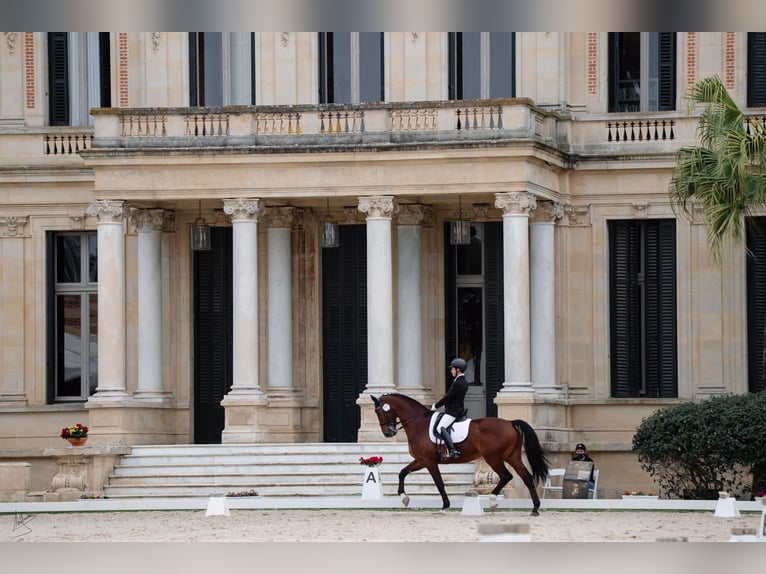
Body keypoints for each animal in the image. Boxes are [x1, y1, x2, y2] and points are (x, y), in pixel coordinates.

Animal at [372, 394, 552, 516]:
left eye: (379, 411)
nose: (388, 433)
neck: (418, 424)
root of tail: (510, 423)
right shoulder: (421, 460)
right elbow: (402, 472)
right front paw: (404, 498)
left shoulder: (429, 461)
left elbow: (439, 483)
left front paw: (445, 506)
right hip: (512, 457)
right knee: (526, 477)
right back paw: (535, 508)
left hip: (493, 458)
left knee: (506, 476)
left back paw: (493, 501)